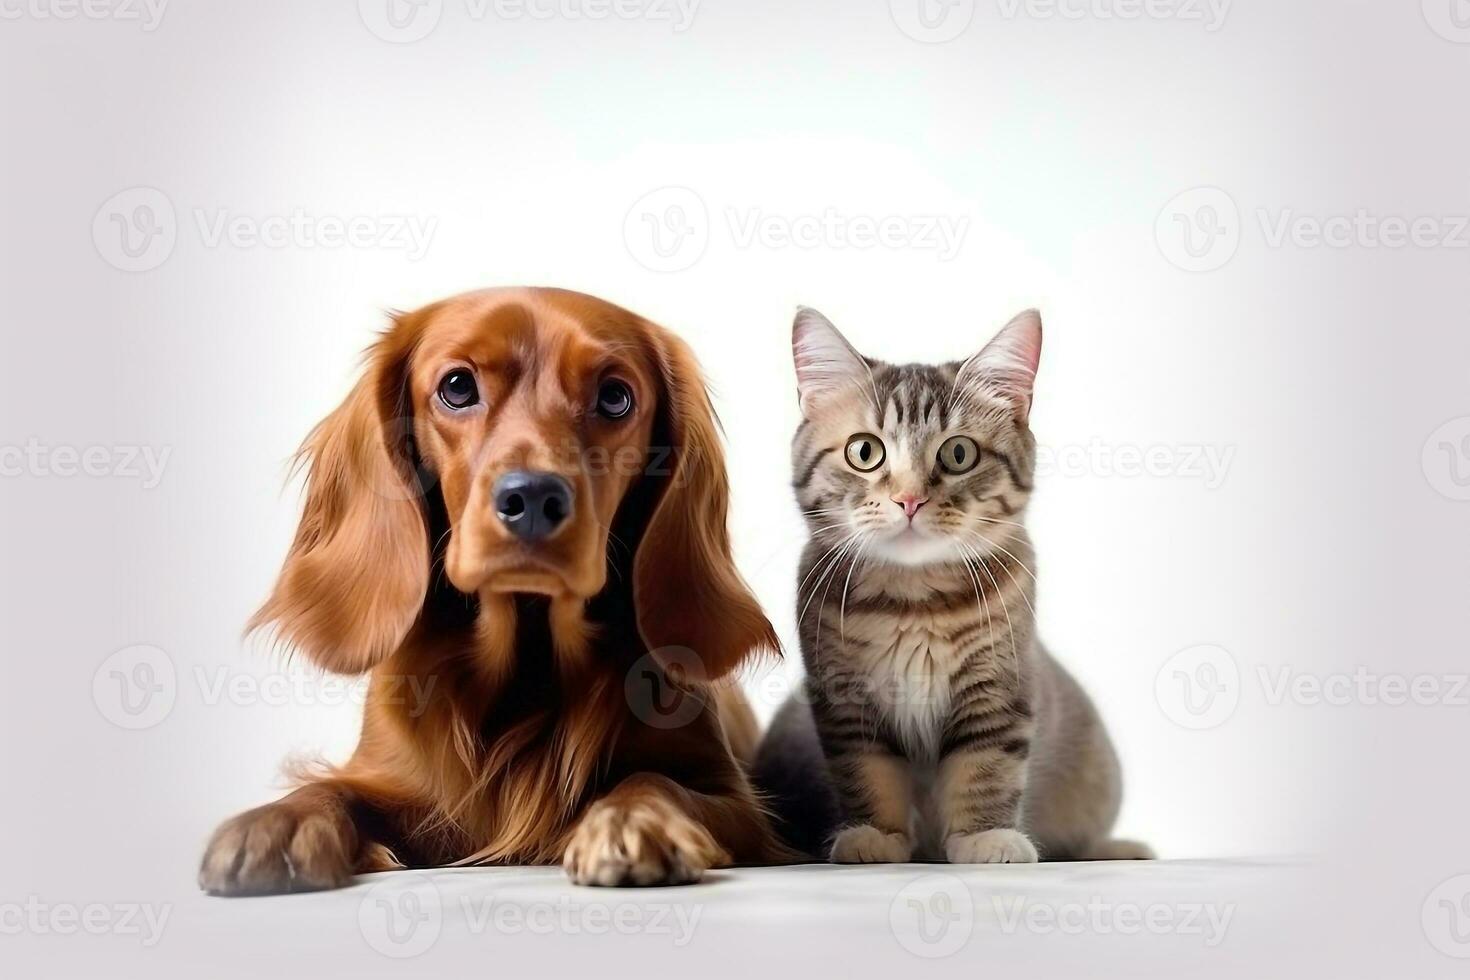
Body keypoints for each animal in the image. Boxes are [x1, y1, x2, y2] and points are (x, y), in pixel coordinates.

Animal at [204, 287, 793, 893]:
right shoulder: (404, 792)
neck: (527, 667)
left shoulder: (739, 804)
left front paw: (633, 821)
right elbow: (336, 789)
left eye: (615, 397)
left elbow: (658, 782)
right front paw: (282, 821)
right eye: (457, 387)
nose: (533, 497)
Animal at [752, 308, 1152, 863]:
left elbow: (984, 767)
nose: (909, 499)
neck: (913, 600)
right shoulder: (846, 702)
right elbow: (868, 771)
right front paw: (875, 836)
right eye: (864, 452)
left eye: (958, 453)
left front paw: (985, 837)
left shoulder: (998, 687)